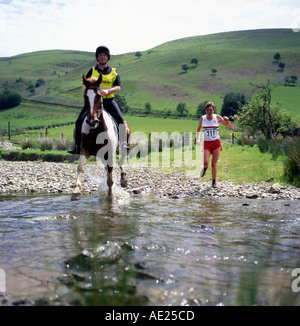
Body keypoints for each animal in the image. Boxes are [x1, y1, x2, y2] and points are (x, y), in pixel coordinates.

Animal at [72, 73, 131, 201]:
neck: (96, 130)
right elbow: (80, 167)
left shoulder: (110, 152)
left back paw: (124, 180)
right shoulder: (85, 149)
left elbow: (110, 176)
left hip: (122, 146)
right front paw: (76, 191)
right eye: (85, 96)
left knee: (121, 161)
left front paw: (110, 195)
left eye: (99, 96)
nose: (92, 121)